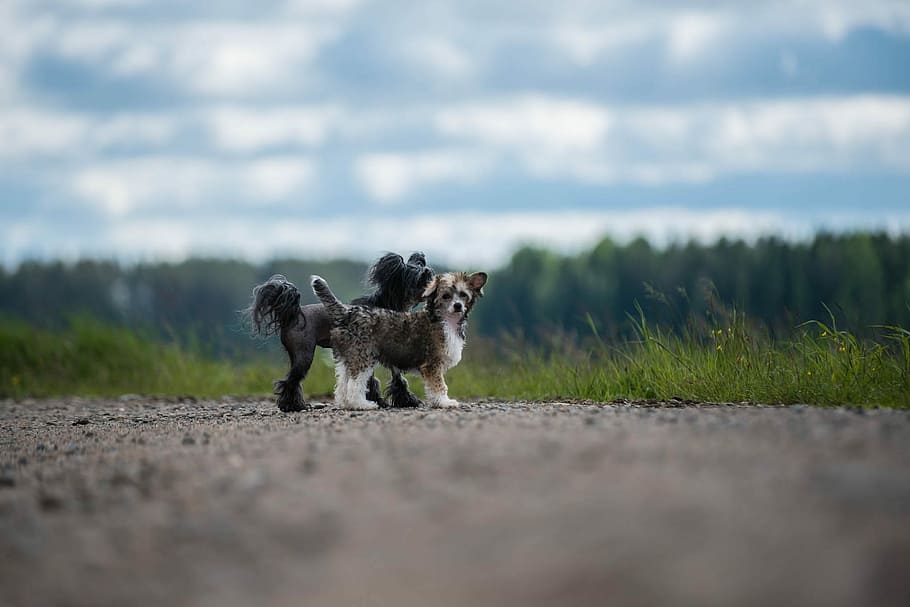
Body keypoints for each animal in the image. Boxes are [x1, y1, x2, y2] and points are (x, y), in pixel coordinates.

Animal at [246, 252, 434, 414]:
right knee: (290, 382)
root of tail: (294, 313)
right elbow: (382, 380)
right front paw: (384, 401)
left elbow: (396, 379)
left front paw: (402, 401)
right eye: (420, 279)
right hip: (304, 355)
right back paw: (293, 406)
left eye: (430, 275)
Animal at [310, 272, 488, 410]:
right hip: (363, 358)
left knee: (342, 384)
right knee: (355, 385)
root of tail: (348, 313)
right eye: (446, 296)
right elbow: (439, 386)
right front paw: (444, 402)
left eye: (463, 295)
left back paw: (346, 404)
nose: (458, 305)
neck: (444, 320)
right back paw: (362, 405)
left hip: (348, 358)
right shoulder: (432, 365)